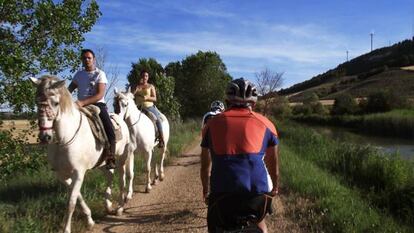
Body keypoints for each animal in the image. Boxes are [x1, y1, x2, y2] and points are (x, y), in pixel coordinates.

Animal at [30, 76, 130, 233]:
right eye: (36, 101)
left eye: (56, 103)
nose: (45, 137)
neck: (64, 139)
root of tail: (119, 117)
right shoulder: (62, 175)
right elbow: (78, 197)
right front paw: (90, 220)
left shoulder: (78, 173)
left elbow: (71, 202)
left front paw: (66, 229)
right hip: (103, 163)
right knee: (109, 176)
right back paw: (108, 205)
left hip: (122, 159)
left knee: (121, 180)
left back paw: (119, 208)